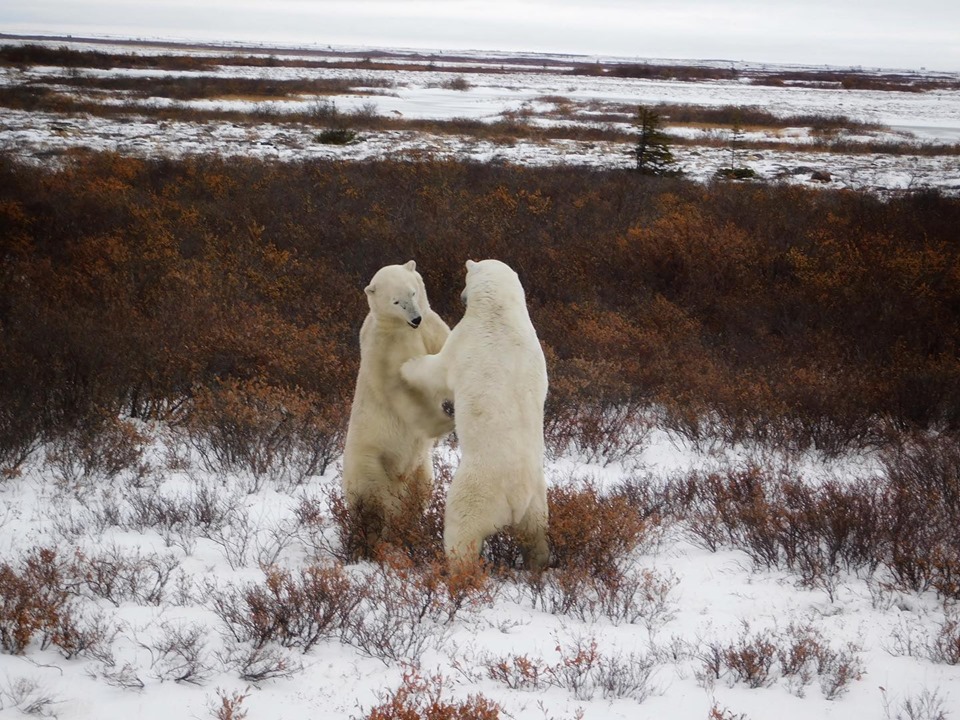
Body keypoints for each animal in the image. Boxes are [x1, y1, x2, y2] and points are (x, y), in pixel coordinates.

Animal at [341, 260, 454, 558]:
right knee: (383, 504)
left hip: (420, 470)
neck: (403, 329)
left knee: (421, 493)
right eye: (396, 301)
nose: (416, 319)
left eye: (412, 293)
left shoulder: (431, 327)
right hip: (370, 465)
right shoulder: (384, 346)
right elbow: (397, 387)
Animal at [401, 259, 550, 571]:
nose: (461, 297)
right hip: (537, 501)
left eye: (467, 278)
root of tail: (515, 499)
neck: (501, 311)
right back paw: (539, 562)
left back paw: (458, 567)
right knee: (537, 534)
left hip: (476, 491)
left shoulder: (466, 339)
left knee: (462, 530)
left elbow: (437, 370)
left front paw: (407, 365)